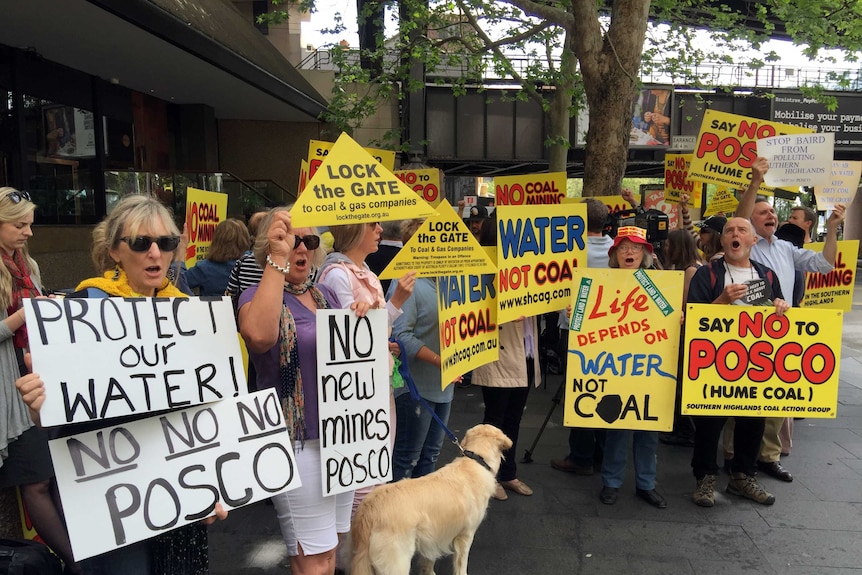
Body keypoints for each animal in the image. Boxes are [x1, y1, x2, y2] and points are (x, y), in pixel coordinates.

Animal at [352, 424, 512, 575]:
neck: (476, 460)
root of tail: (369, 509)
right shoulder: (466, 535)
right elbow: (461, 565)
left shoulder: (434, 536)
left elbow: (429, 560)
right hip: (397, 562)